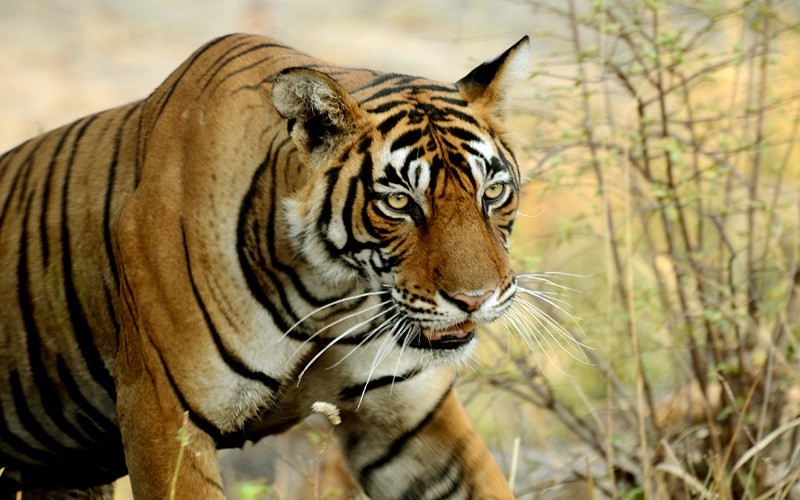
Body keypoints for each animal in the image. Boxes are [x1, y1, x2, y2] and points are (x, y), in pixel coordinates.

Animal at [0, 33, 529, 498]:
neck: (331, 292)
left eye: (493, 192)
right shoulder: (164, 413)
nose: (475, 300)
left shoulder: (411, 420)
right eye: (399, 202)